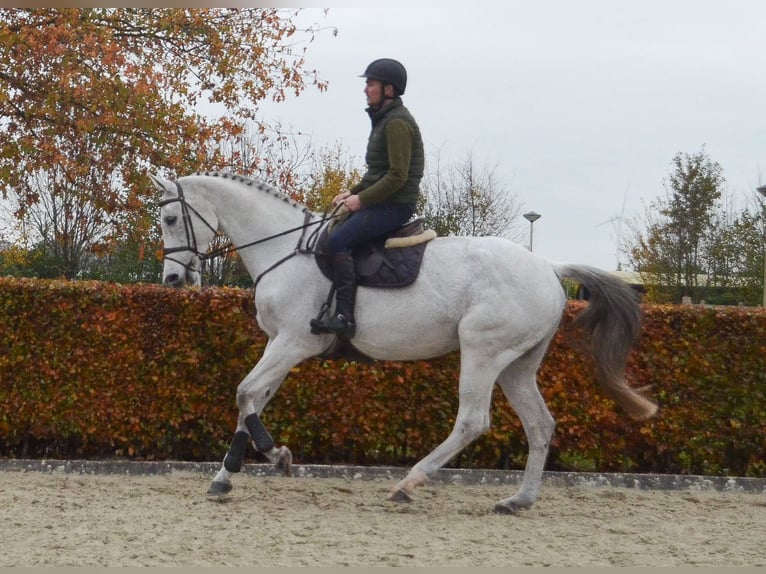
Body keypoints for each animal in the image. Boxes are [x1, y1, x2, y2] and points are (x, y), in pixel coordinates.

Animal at [152, 172, 660, 516]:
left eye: (171, 217)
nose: (173, 279)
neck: (285, 252)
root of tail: (549, 268)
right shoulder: (279, 345)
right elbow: (251, 400)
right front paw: (225, 476)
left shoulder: (293, 344)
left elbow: (243, 393)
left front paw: (277, 456)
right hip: (517, 364)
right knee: (540, 424)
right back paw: (518, 499)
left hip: (482, 351)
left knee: (472, 421)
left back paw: (408, 483)